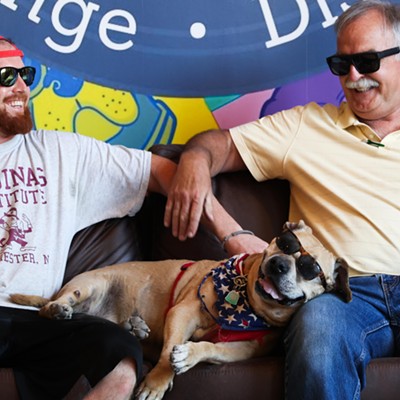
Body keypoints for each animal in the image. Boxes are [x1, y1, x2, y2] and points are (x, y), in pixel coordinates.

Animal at [10, 222, 352, 400]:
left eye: (310, 269)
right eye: (285, 242)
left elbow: (213, 348)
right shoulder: (182, 312)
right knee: (55, 307)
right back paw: (59, 309)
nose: (279, 264)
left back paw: (134, 327)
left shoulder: (243, 350)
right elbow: (166, 353)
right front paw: (157, 381)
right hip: (89, 284)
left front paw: (189, 355)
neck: (244, 305)